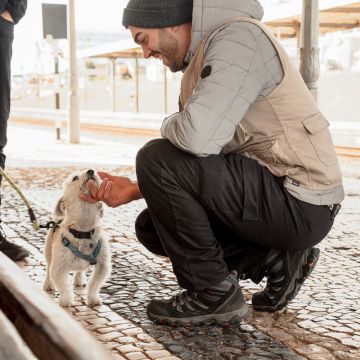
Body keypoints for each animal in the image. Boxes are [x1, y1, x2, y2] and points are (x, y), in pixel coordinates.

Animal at [42, 169, 109, 306]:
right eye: (75, 178)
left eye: (97, 174)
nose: (91, 171)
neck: (83, 231)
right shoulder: (58, 267)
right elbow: (63, 286)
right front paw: (66, 300)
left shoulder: (103, 266)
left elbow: (95, 284)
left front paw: (93, 298)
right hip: (48, 252)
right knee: (48, 269)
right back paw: (48, 284)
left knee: (80, 271)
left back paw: (79, 279)